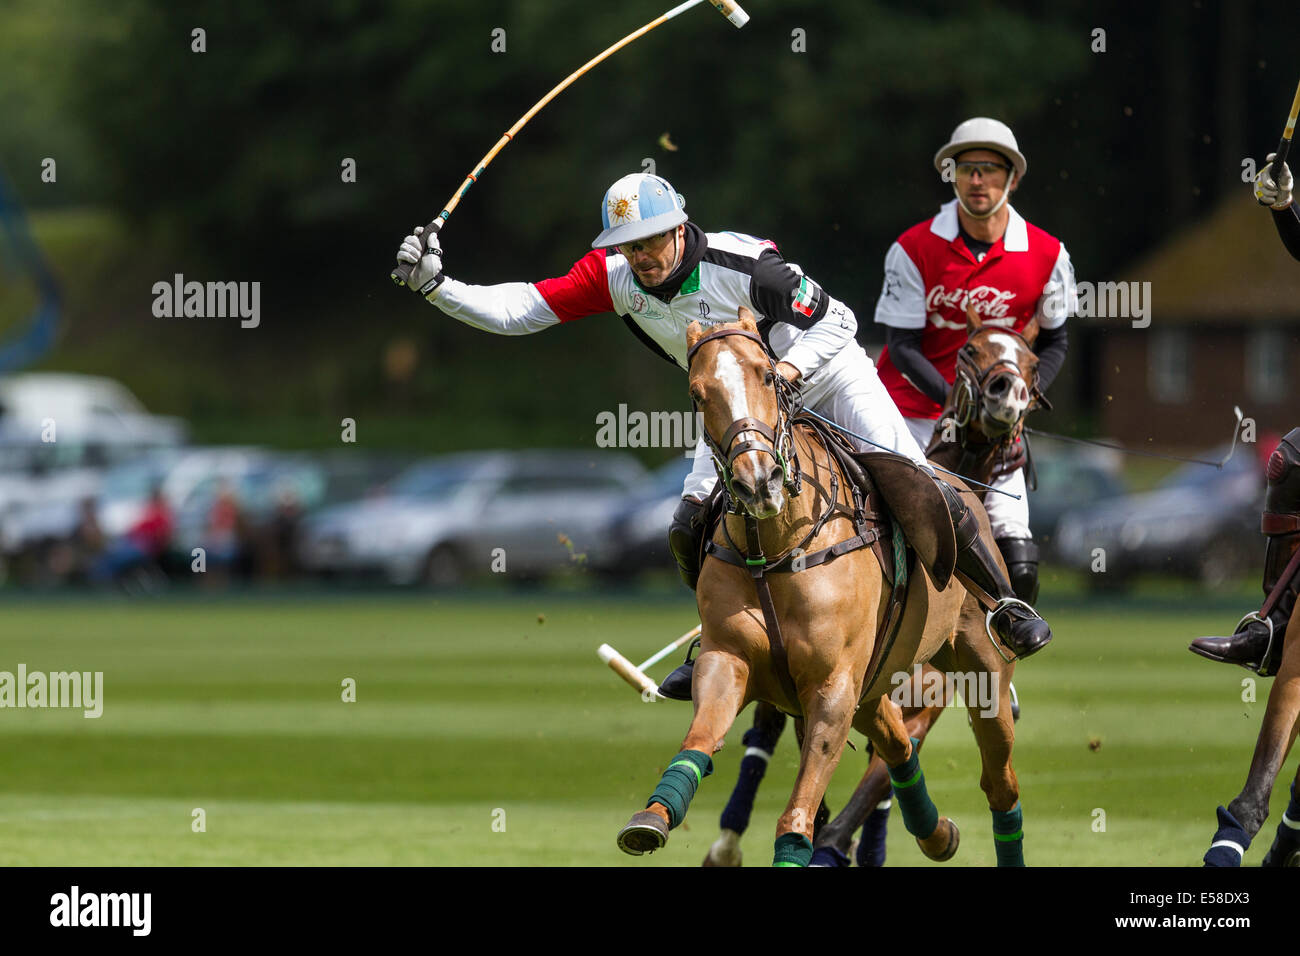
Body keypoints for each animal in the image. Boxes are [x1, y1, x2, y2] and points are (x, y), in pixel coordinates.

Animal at [613, 310, 977, 868]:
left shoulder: (834, 686)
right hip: (871, 688)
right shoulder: (728, 658)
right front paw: (653, 817)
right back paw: (935, 832)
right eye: (697, 394)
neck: (777, 548)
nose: (758, 482)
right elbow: (701, 737)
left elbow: (799, 809)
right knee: (897, 745)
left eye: (767, 375)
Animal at [702, 304, 1045, 868]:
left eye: (1033, 363)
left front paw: (850, 841)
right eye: (970, 351)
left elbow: (880, 776)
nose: (1006, 395)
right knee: (764, 735)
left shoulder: (917, 696)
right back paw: (729, 842)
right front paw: (830, 839)